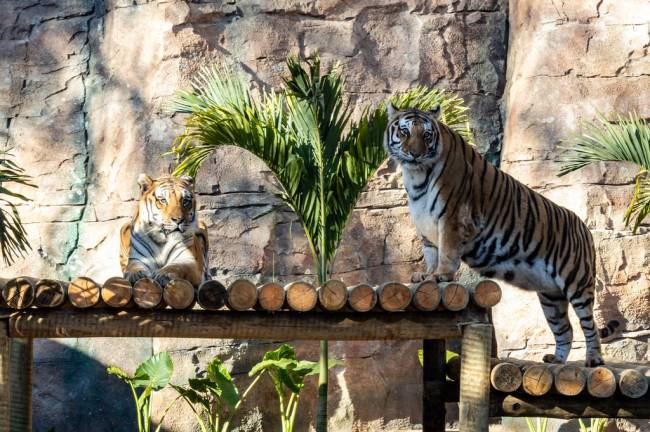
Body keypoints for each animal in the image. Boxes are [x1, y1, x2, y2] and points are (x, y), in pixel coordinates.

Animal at [384, 104, 618, 367]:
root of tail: (585, 227)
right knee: (564, 328)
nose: (414, 154)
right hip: (551, 296)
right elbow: (431, 253)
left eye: (426, 135)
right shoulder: (426, 226)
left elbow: (446, 253)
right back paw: (556, 360)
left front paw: (441, 276)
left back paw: (594, 359)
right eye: (404, 132)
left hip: (577, 282)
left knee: (588, 324)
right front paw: (426, 274)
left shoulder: (453, 218)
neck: (416, 175)